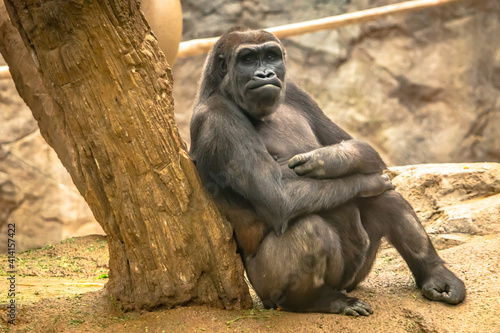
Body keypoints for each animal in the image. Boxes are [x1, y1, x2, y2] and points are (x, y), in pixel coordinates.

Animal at [189, 27, 466, 314]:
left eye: (270, 56)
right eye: (247, 60)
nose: (265, 74)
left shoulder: (295, 92)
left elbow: (357, 145)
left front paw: (328, 160)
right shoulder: (217, 119)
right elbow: (278, 195)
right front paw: (366, 182)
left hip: (354, 277)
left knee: (387, 199)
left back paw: (434, 273)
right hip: (266, 293)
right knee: (309, 230)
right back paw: (318, 300)